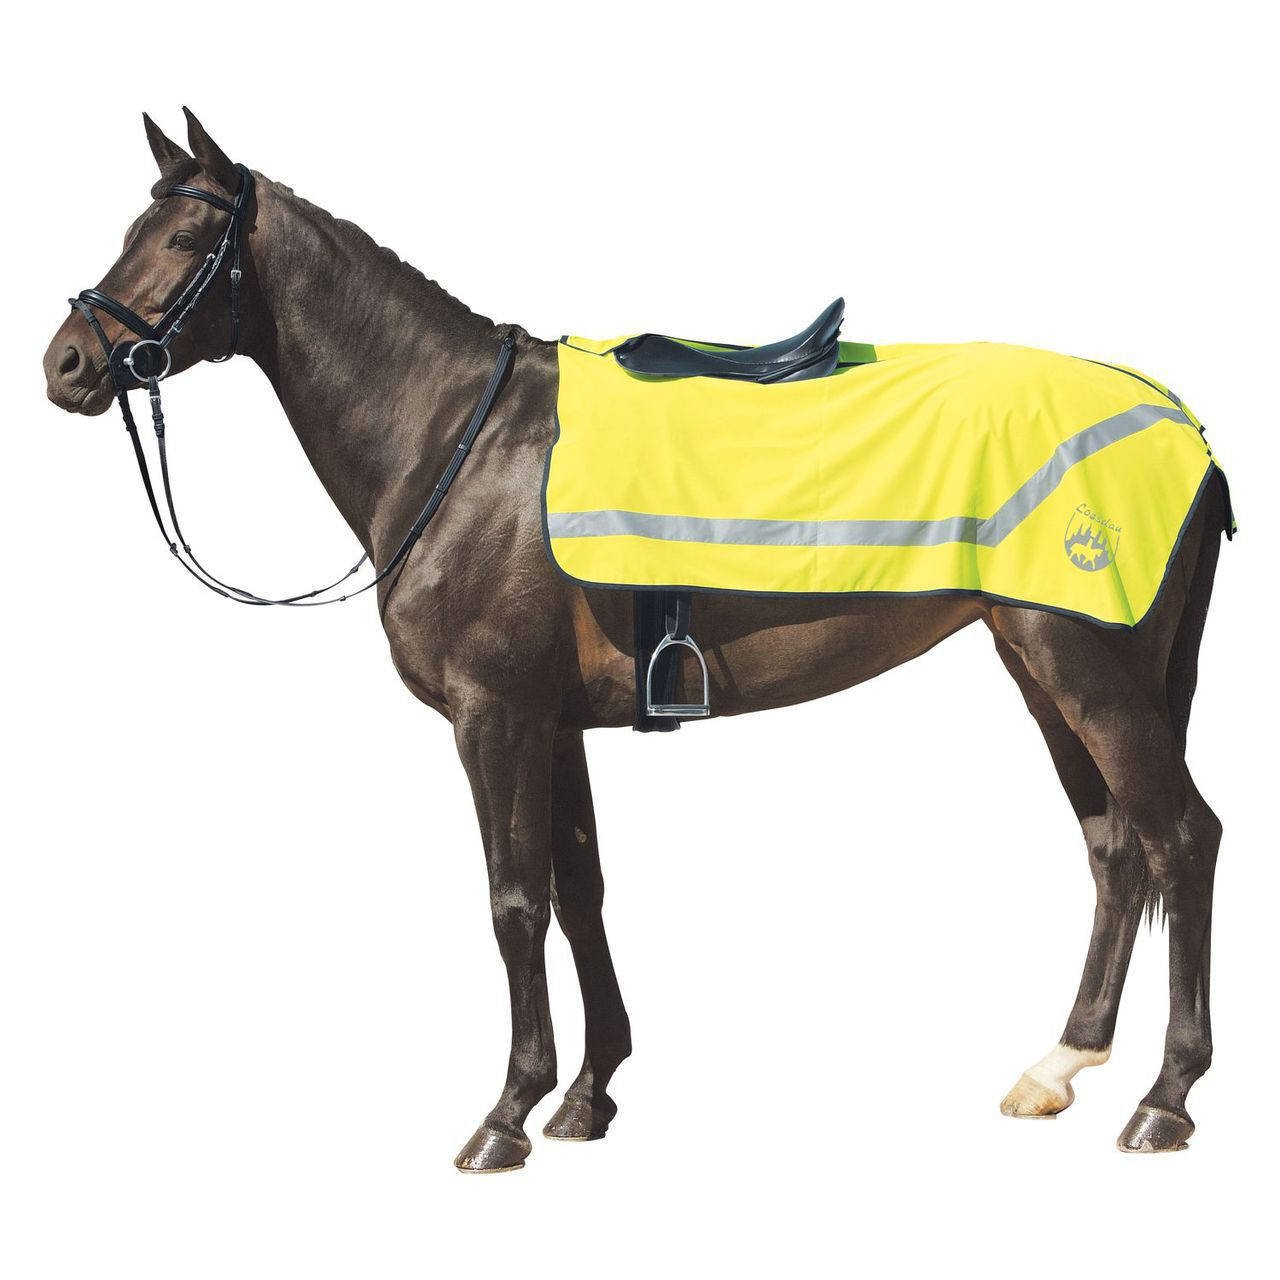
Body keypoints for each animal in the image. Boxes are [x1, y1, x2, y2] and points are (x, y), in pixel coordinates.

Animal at [42, 110, 1227, 1171]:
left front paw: (506, 1114)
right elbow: (578, 891)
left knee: (1181, 838)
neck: (462, 440)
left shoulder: (494, 717)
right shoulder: (554, 723)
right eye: (133, 229)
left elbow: (513, 901)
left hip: (1088, 667)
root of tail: (1185, 427)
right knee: (1115, 848)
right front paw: (587, 1092)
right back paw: (1061, 1064)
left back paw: (1165, 1099)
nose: (67, 365)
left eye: (183, 242)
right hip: (1039, 668)